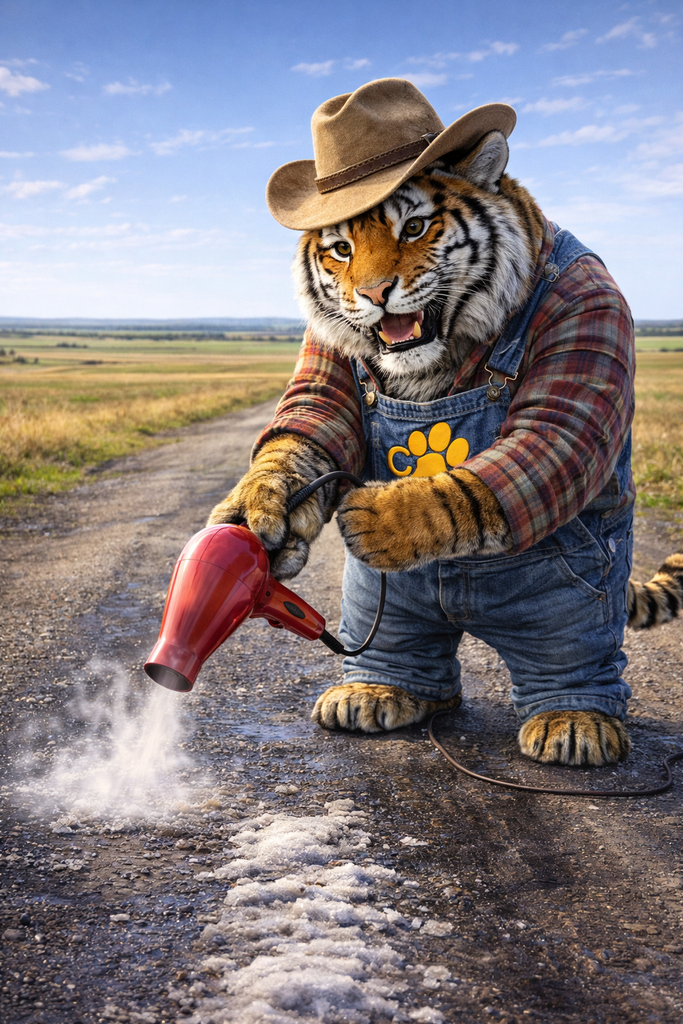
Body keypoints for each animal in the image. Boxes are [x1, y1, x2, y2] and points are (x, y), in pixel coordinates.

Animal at [209, 126, 683, 769]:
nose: (374, 292)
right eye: (340, 249)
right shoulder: (327, 363)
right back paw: (373, 689)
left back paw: (575, 721)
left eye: (414, 227)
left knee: (572, 657)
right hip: (383, 611)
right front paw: (256, 508)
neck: (430, 370)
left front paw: (380, 515)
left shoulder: (585, 328)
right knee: (398, 649)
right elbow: (313, 419)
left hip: (579, 605)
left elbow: (518, 458)